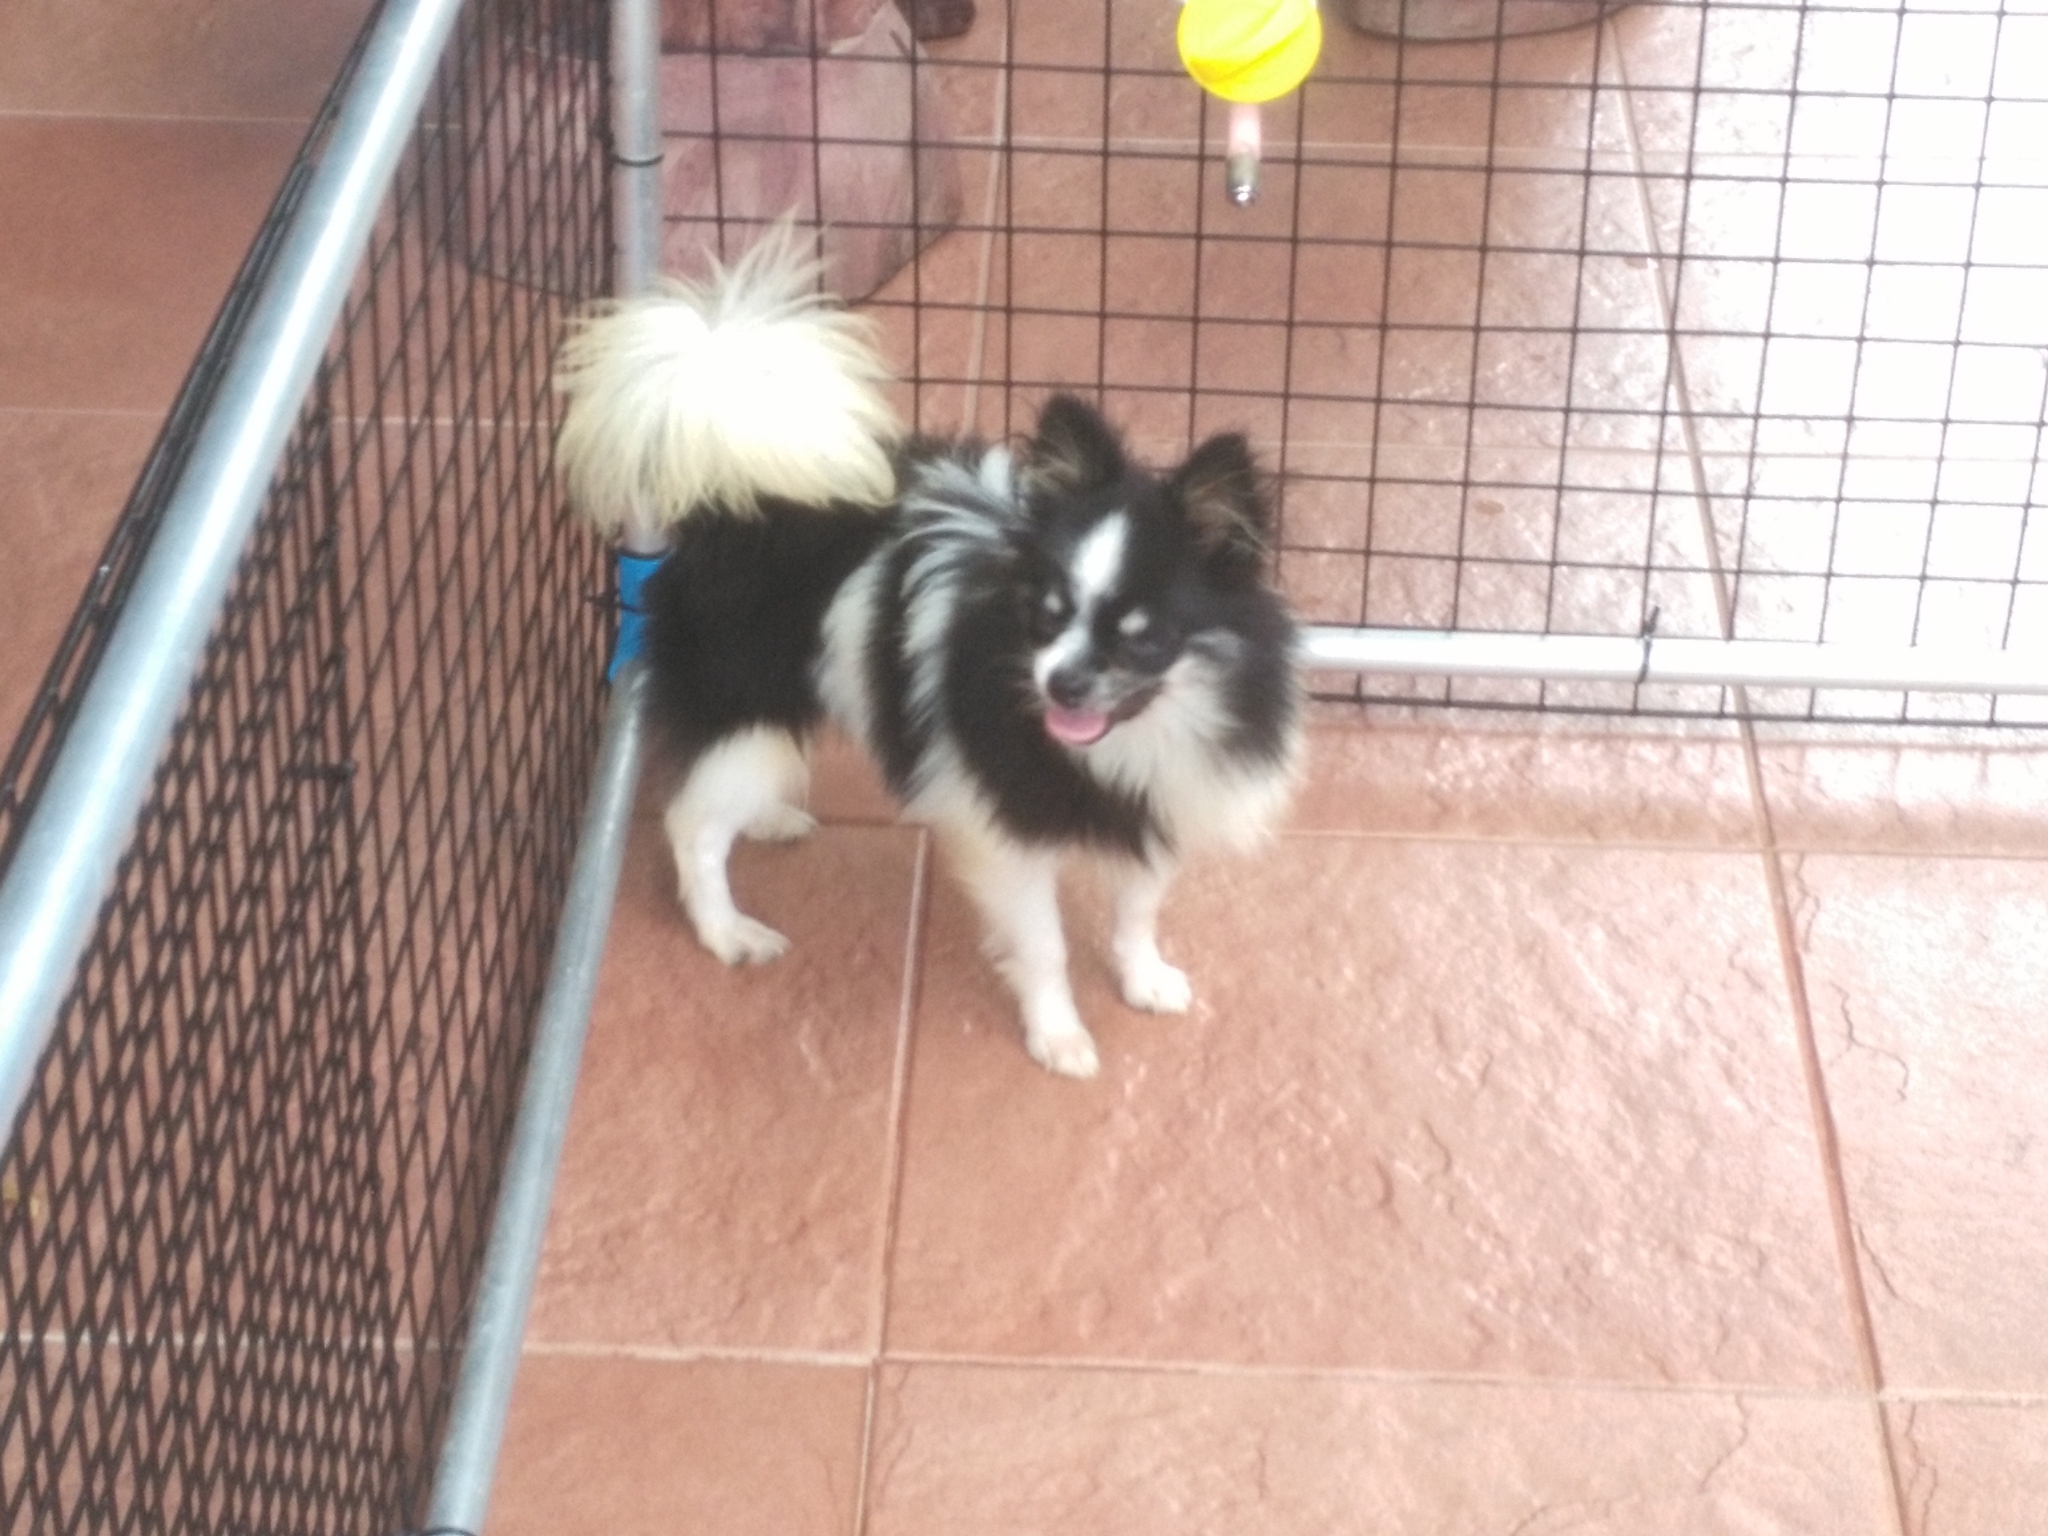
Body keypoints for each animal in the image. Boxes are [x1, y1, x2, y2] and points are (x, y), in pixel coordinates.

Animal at [555, 230, 1304, 1077]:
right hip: (752, 703)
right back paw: (729, 932)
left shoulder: (1165, 802)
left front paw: (1144, 980)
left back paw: (771, 819)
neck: (1130, 739)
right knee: (693, 822)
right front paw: (1059, 1037)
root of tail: (738, 479)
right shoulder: (1010, 841)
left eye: (1142, 635)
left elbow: (1138, 909)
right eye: (1046, 615)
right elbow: (1044, 947)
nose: (1062, 684)